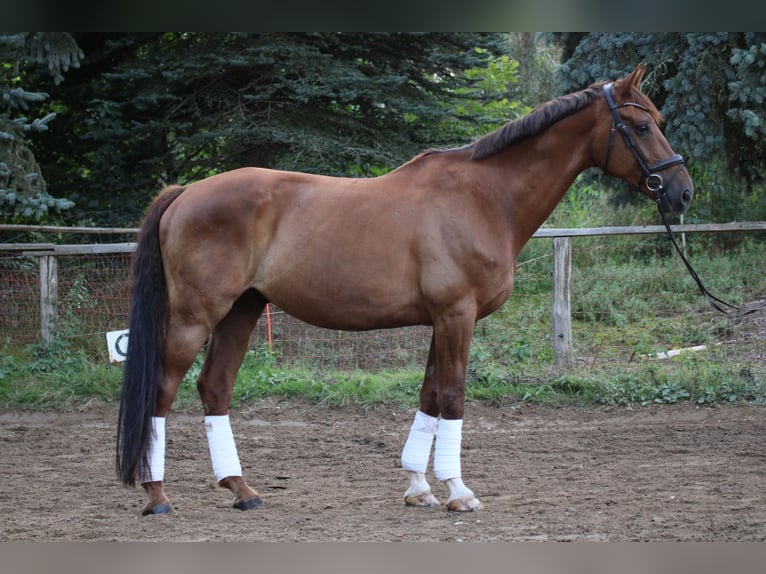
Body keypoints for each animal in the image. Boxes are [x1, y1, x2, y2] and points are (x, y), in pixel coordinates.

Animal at [118, 64, 696, 516]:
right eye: (640, 125)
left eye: (658, 122)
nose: (682, 192)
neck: (484, 197)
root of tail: (187, 191)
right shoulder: (457, 315)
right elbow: (454, 397)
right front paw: (459, 492)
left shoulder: (442, 320)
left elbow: (429, 396)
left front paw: (419, 487)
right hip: (196, 315)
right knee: (162, 390)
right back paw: (157, 495)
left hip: (242, 310)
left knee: (215, 387)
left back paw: (242, 490)